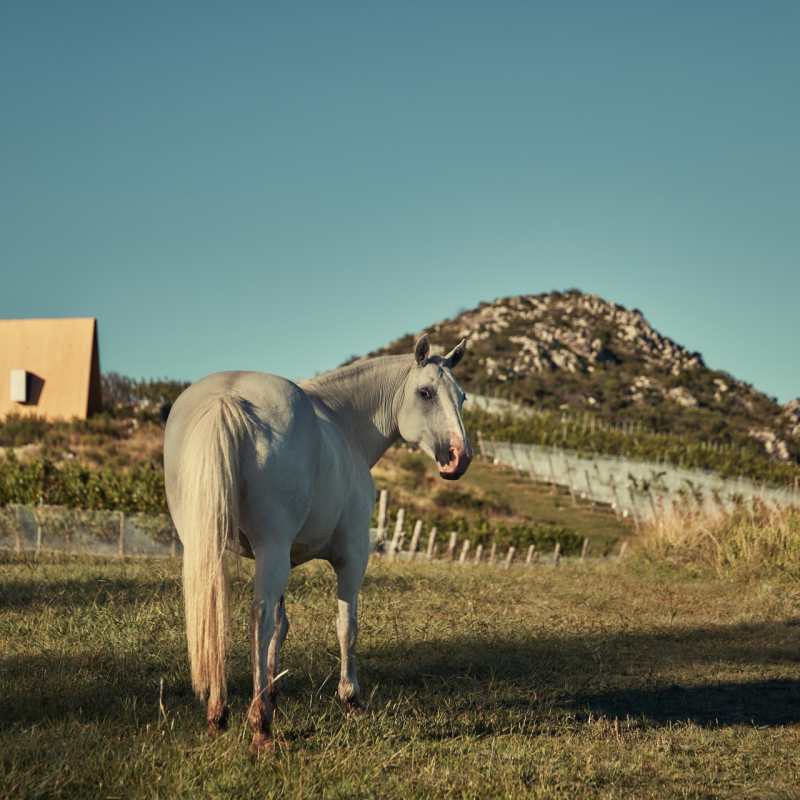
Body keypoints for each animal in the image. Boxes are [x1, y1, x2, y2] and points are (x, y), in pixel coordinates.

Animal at [163, 333, 472, 752]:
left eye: (462, 397)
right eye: (425, 392)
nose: (459, 458)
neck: (344, 425)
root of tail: (227, 398)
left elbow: (282, 626)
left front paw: (273, 691)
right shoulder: (351, 557)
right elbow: (346, 625)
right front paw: (351, 698)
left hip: (208, 546)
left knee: (215, 613)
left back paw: (219, 713)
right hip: (271, 548)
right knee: (256, 618)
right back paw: (260, 726)